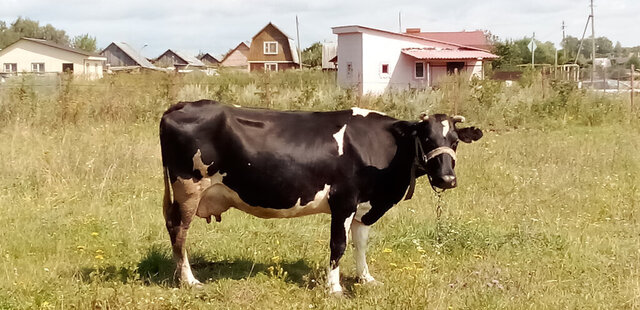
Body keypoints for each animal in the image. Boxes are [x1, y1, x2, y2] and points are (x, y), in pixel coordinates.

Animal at [159, 100, 480, 296]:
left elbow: (361, 243)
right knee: (178, 230)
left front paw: (366, 279)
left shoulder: (365, 206)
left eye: (454, 142)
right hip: (188, 187)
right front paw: (334, 287)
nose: (447, 179)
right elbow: (338, 245)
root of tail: (181, 105)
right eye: (426, 138)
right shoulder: (344, 201)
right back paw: (189, 280)